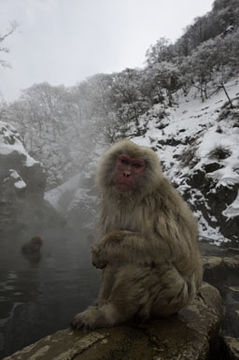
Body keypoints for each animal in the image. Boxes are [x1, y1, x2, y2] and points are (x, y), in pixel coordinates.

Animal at [71, 139, 202, 330]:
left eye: (136, 165)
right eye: (124, 161)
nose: (126, 174)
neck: (133, 196)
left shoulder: (155, 202)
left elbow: (171, 245)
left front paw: (100, 249)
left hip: (173, 297)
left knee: (148, 260)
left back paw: (112, 313)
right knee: (122, 255)